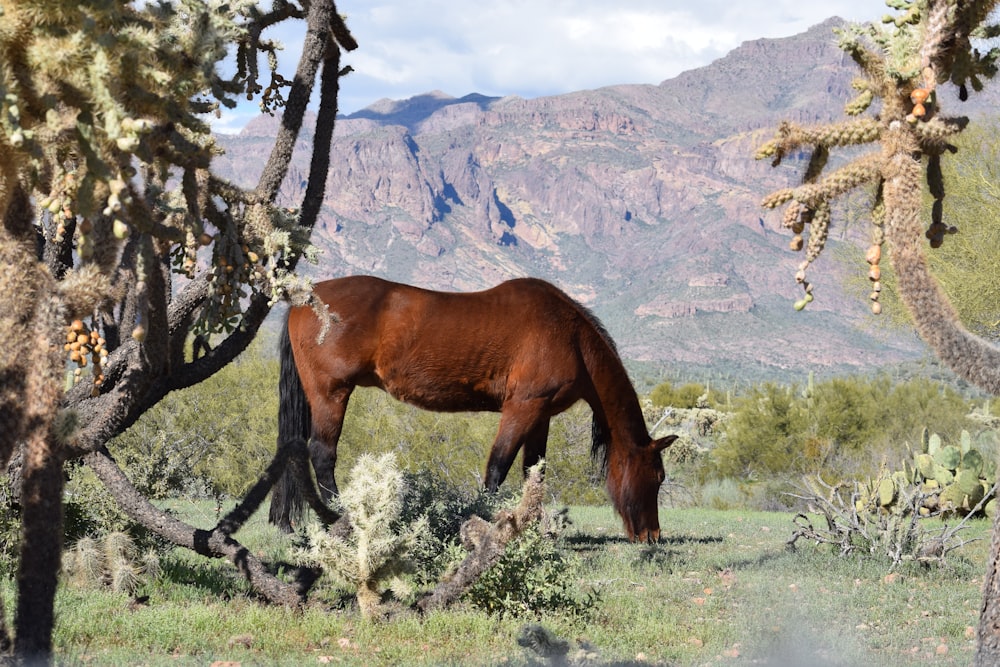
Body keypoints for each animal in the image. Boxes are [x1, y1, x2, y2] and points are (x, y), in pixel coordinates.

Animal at [266, 276, 676, 544]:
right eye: (657, 477)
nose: (652, 535)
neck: (569, 336)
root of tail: (303, 300)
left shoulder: (540, 415)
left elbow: (534, 473)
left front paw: (534, 530)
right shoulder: (522, 408)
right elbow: (497, 468)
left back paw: (286, 522)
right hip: (331, 394)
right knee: (322, 454)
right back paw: (340, 519)